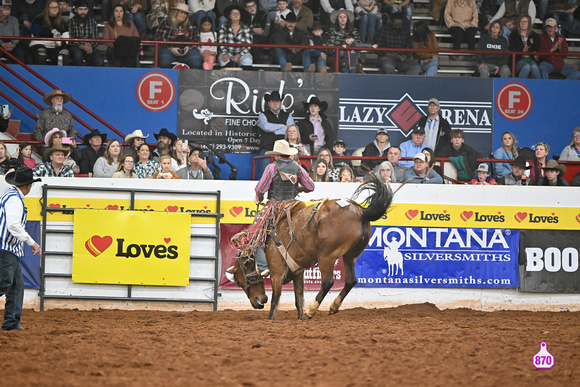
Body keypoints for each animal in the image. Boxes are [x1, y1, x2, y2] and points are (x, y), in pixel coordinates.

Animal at [228, 176, 394, 322]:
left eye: (238, 282)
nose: (258, 302)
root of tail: (361, 212)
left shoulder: (276, 273)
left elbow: (275, 302)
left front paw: (270, 320)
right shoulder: (298, 273)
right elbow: (298, 299)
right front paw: (300, 317)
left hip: (326, 257)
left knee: (328, 282)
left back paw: (312, 310)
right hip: (350, 256)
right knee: (350, 280)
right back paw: (333, 307)